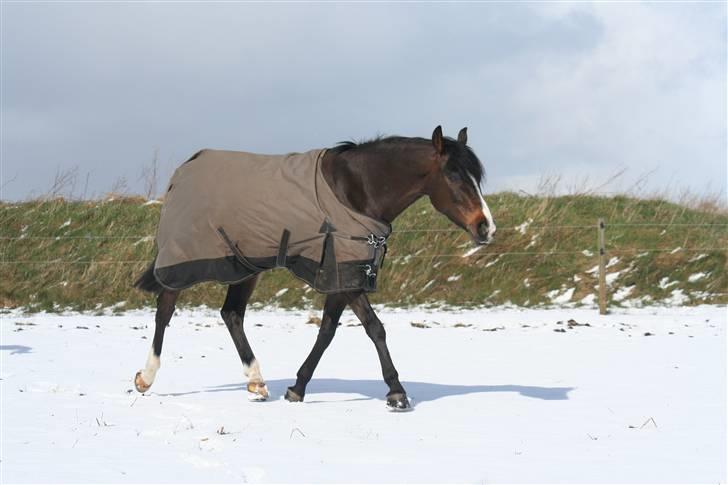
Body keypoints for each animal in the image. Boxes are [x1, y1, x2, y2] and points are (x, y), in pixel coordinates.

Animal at [131, 125, 494, 408]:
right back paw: (146, 378)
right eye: (453, 175)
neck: (355, 190)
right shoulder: (346, 273)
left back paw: (257, 383)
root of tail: (183, 170)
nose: (486, 227)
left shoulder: (344, 271)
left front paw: (298, 388)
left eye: (476, 176)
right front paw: (397, 393)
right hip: (184, 260)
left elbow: (330, 330)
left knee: (231, 314)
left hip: (244, 265)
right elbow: (373, 327)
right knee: (165, 308)